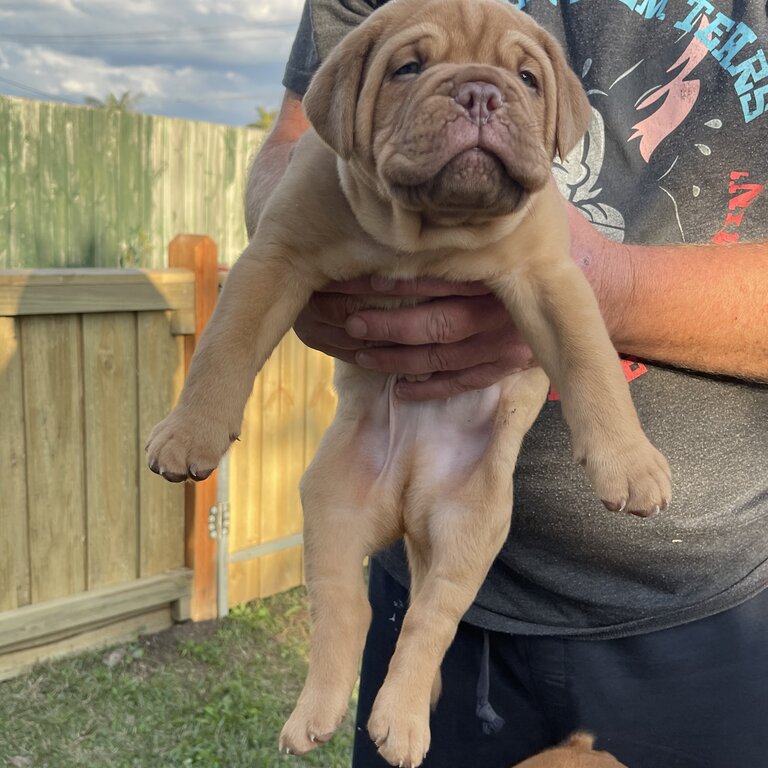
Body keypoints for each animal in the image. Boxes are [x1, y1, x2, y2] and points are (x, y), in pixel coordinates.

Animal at [147, 0, 668, 764]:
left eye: (527, 79)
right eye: (409, 68)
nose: (480, 92)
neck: (429, 234)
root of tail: (407, 502)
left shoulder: (551, 280)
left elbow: (593, 366)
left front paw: (628, 465)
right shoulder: (274, 259)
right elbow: (224, 345)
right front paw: (190, 433)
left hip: (470, 528)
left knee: (431, 619)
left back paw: (402, 719)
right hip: (332, 509)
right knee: (348, 611)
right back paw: (320, 715)